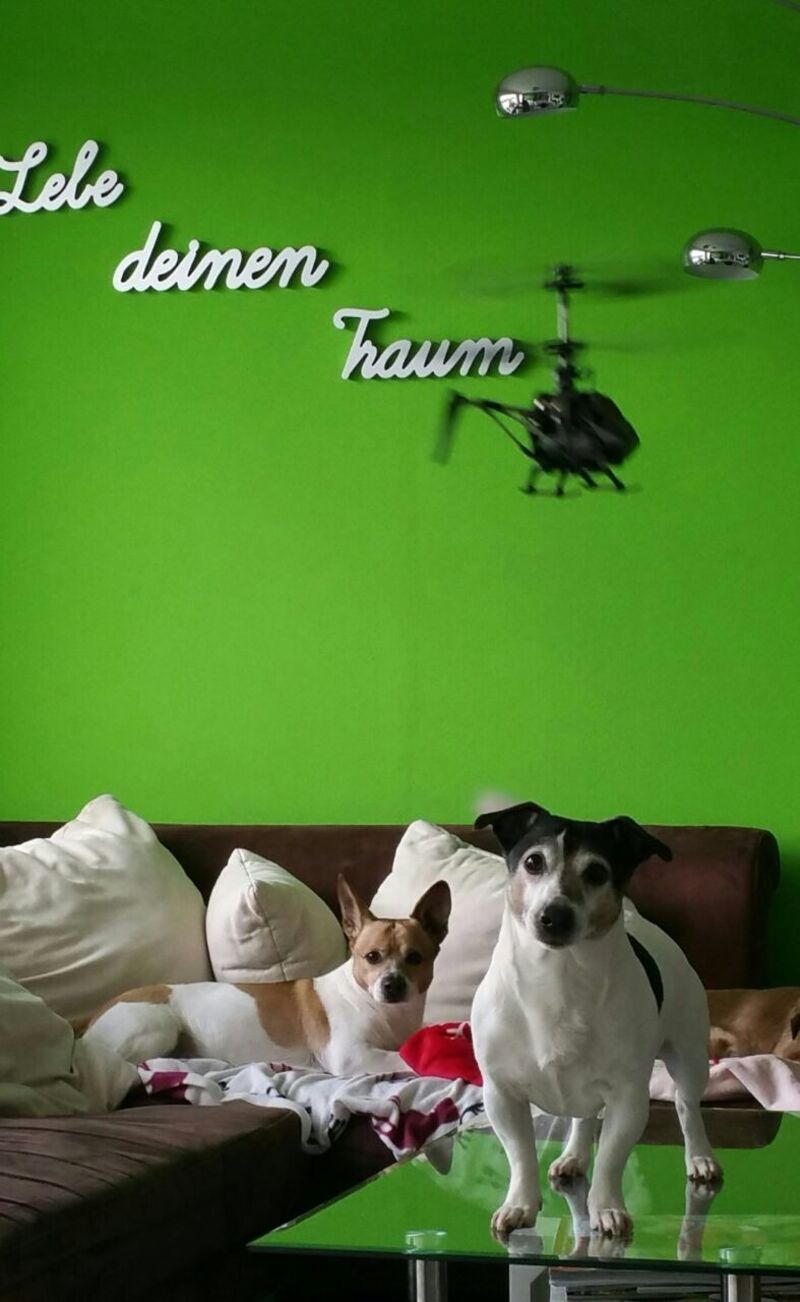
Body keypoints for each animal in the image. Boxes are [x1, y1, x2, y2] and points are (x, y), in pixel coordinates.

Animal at [78, 875, 451, 1079]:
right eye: (372, 957)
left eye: (415, 958)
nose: (392, 984)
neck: (383, 1011)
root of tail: (94, 1017)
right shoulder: (351, 1055)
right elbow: (402, 1058)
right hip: (158, 1026)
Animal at [471, 801, 722, 1244]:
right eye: (533, 862)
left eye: (597, 873)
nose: (554, 915)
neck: (558, 979)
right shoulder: (501, 1094)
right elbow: (520, 1154)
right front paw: (520, 1204)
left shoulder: (628, 1099)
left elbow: (611, 1158)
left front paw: (606, 1208)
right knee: (583, 1117)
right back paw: (573, 1155)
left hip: (689, 1058)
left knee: (687, 1107)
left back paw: (700, 1158)